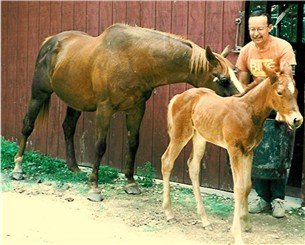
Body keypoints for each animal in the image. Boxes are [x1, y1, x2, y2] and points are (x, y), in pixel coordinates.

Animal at [12, 22, 242, 201]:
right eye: (224, 79)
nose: (239, 104)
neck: (133, 59)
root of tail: (50, 41)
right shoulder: (105, 108)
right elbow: (100, 146)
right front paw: (94, 187)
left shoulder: (136, 108)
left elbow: (133, 144)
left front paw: (131, 183)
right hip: (39, 94)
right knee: (27, 125)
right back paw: (18, 168)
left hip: (75, 102)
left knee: (68, 128)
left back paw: (74, 167)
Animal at [162, 64, 302, 244]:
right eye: (279, 92)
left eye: (296, 92)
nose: (297, 120)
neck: (248, 113)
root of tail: (178, 96)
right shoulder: (234, 150)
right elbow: (239, 188)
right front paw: (237, 234)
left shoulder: (249, 152)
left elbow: (247, 186)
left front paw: (246, 224)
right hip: (180, 135)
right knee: (167, 161)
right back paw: (169, 213)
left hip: (199, 137)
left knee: (193, 167)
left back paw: (205, 220)